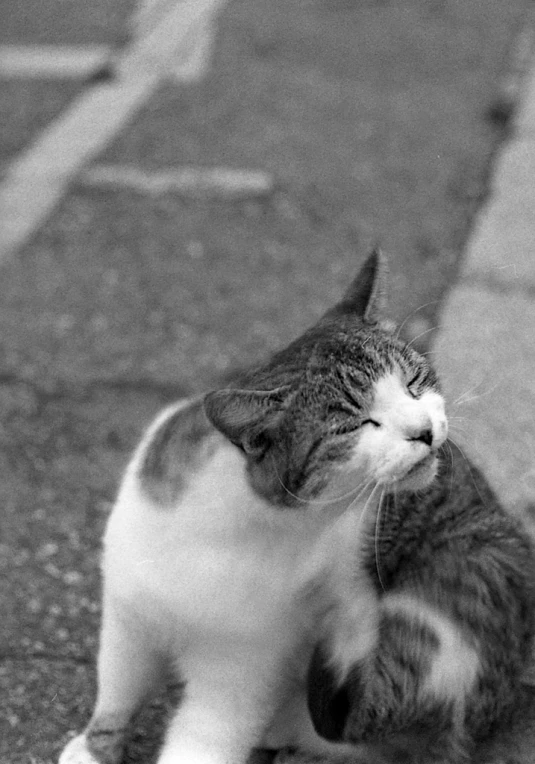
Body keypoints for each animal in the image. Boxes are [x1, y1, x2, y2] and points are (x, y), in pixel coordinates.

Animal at [56, 251, 532, 764]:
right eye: (356, 424)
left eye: (414, 383)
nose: (424, 430)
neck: (229, 528)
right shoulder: (131, 617)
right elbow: (117, 690)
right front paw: (96, 746)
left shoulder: (240, 674)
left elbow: (205, 740)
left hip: (468, 573)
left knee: (370, 711)